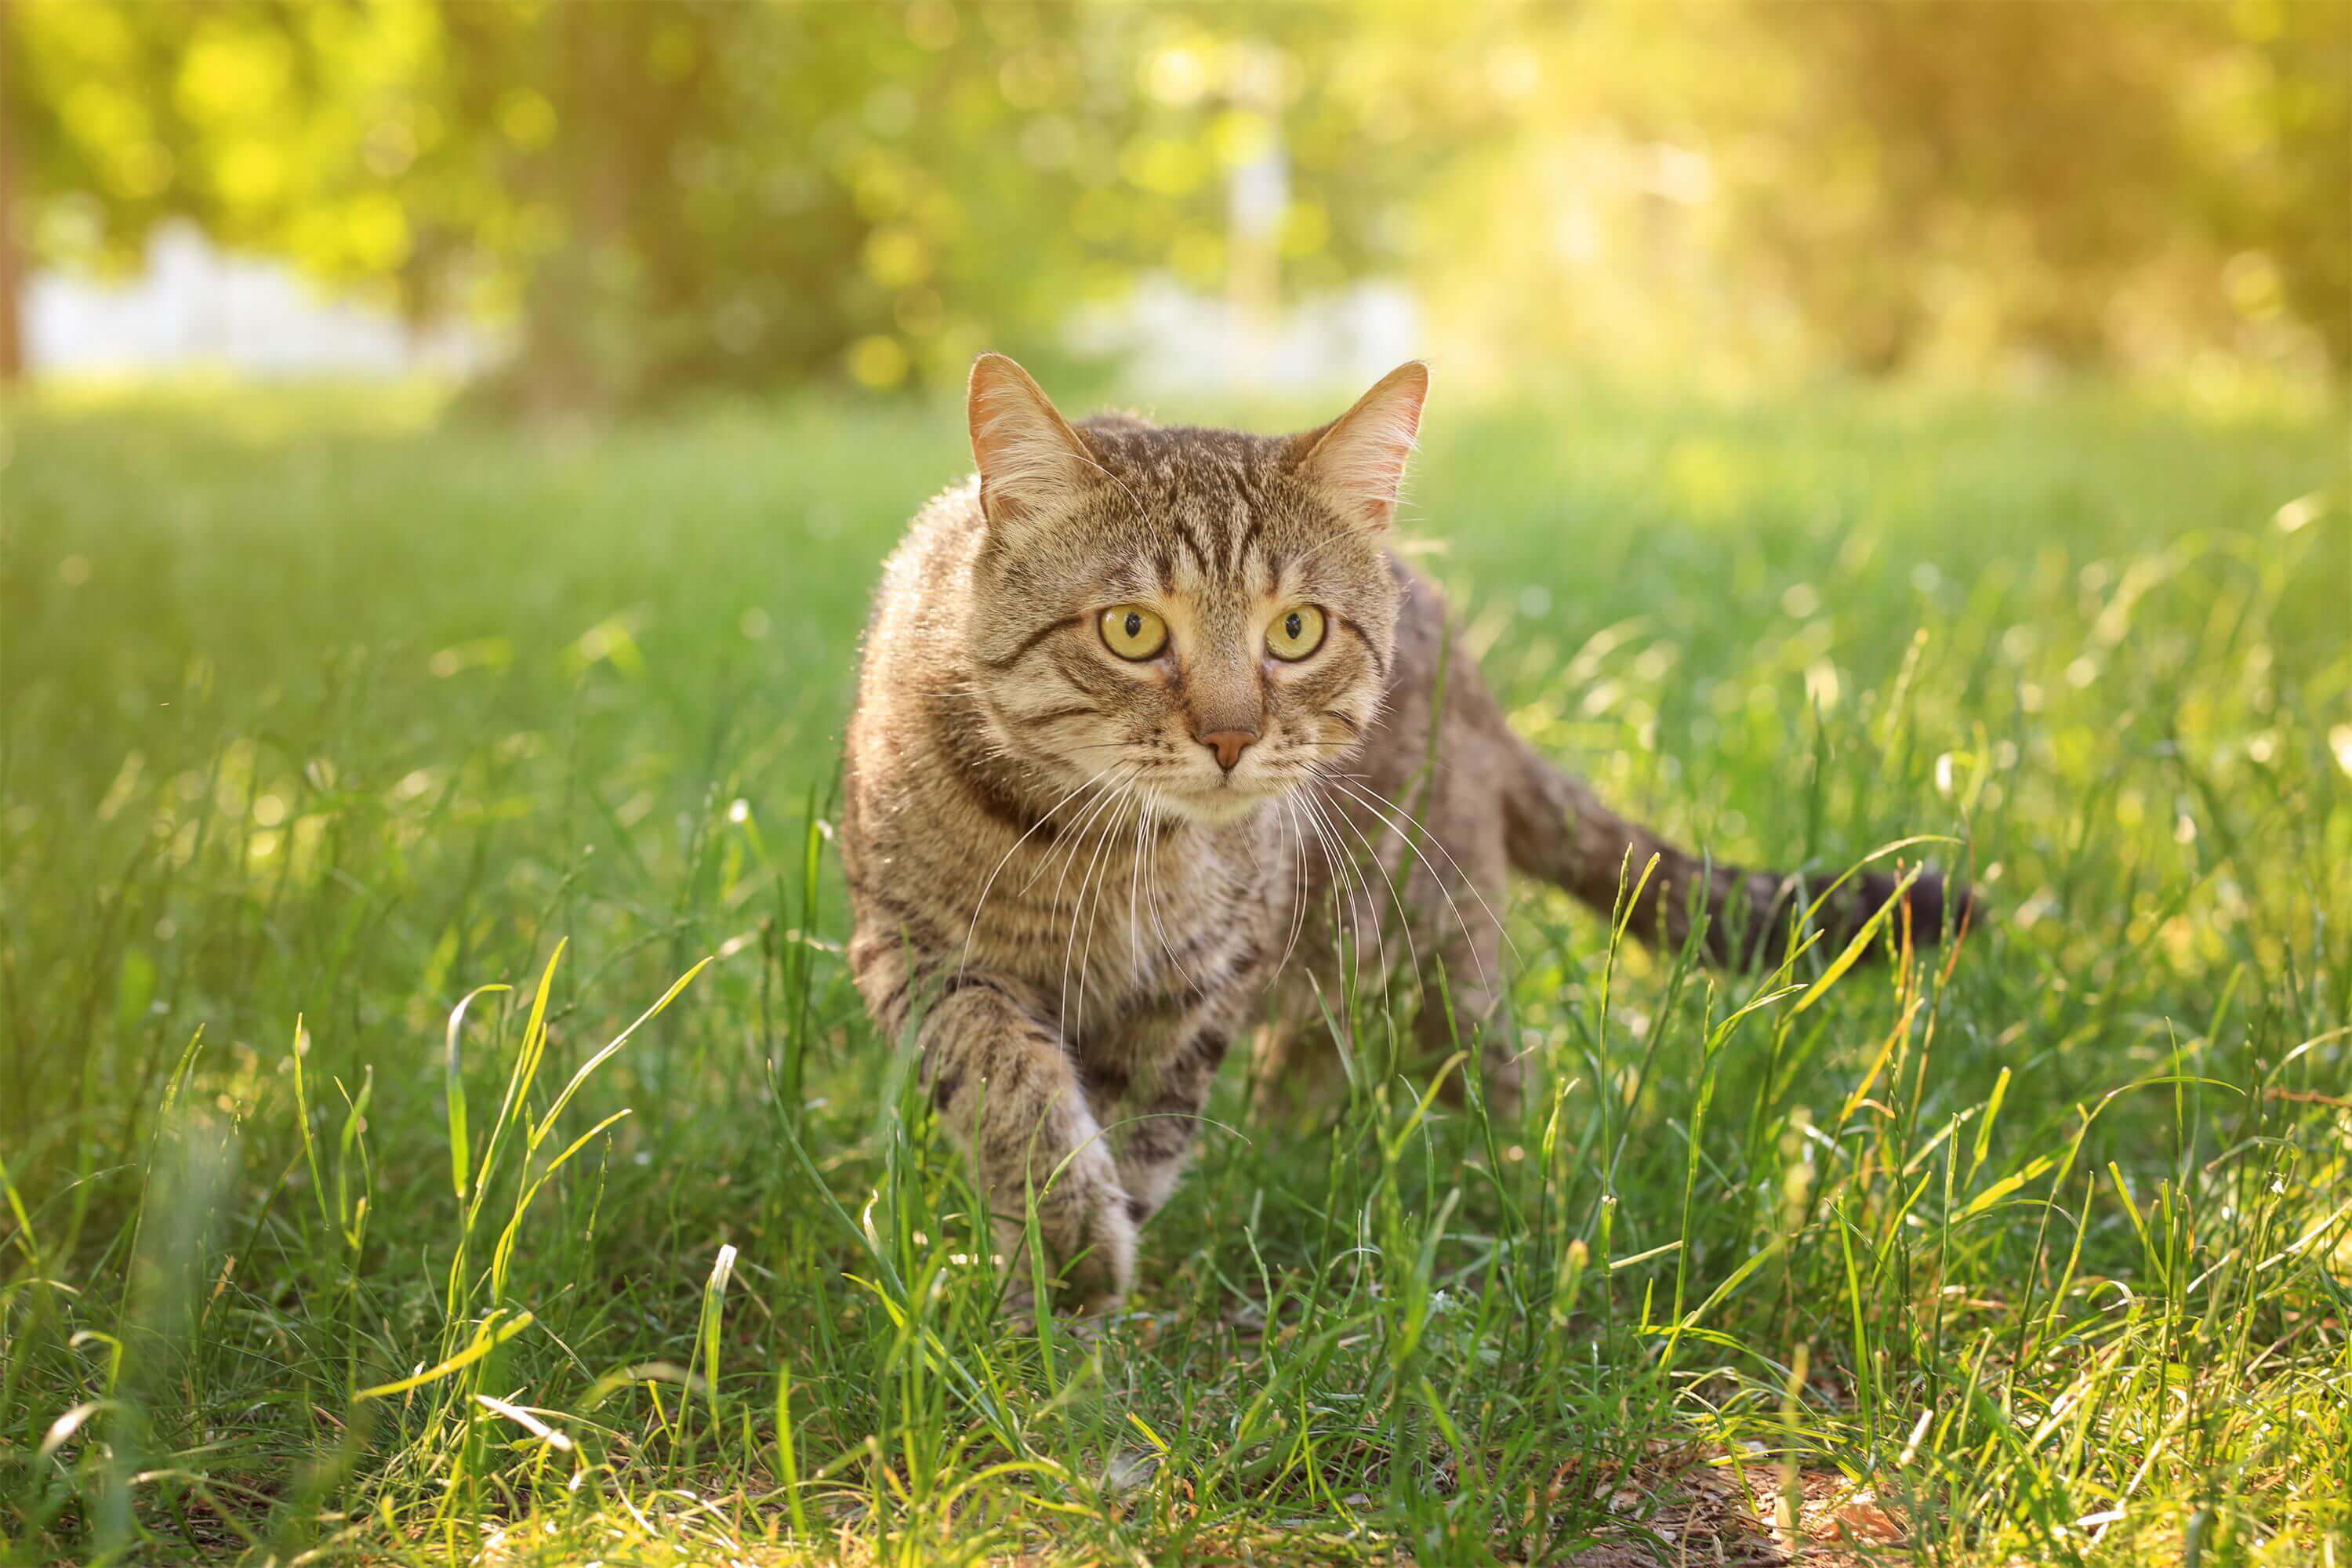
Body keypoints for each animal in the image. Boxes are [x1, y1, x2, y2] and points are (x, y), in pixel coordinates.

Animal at [842, 352, 1966, 1316]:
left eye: (1297, 630)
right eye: (1131, 629)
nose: (1230, 736)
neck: (1105, 852)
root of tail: (1474, 676)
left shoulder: (1208, 975)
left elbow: (1146, 1117)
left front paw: (1087, 1255)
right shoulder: (912, 945)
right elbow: (1004, 1070)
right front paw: (1061, 1239)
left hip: (1431, 949)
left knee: (1480, 1086)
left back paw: (1504, 1207)